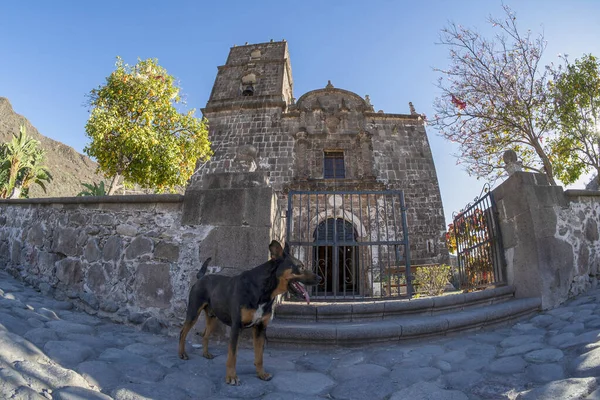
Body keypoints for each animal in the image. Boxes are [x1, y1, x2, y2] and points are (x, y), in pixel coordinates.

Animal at [177, 239, 322, 386]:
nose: (320, 278)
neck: (263, 290)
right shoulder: (236, 327)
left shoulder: (260, 328)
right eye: (300, 266)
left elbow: (259, 356)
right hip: (193, 313)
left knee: (205, 335)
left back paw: (206, 354)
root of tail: (201, 277)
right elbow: (232, 355)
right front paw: (231, 377)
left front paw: (261, 374)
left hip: (213, 317)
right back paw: (182, 354)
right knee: (183, 333)